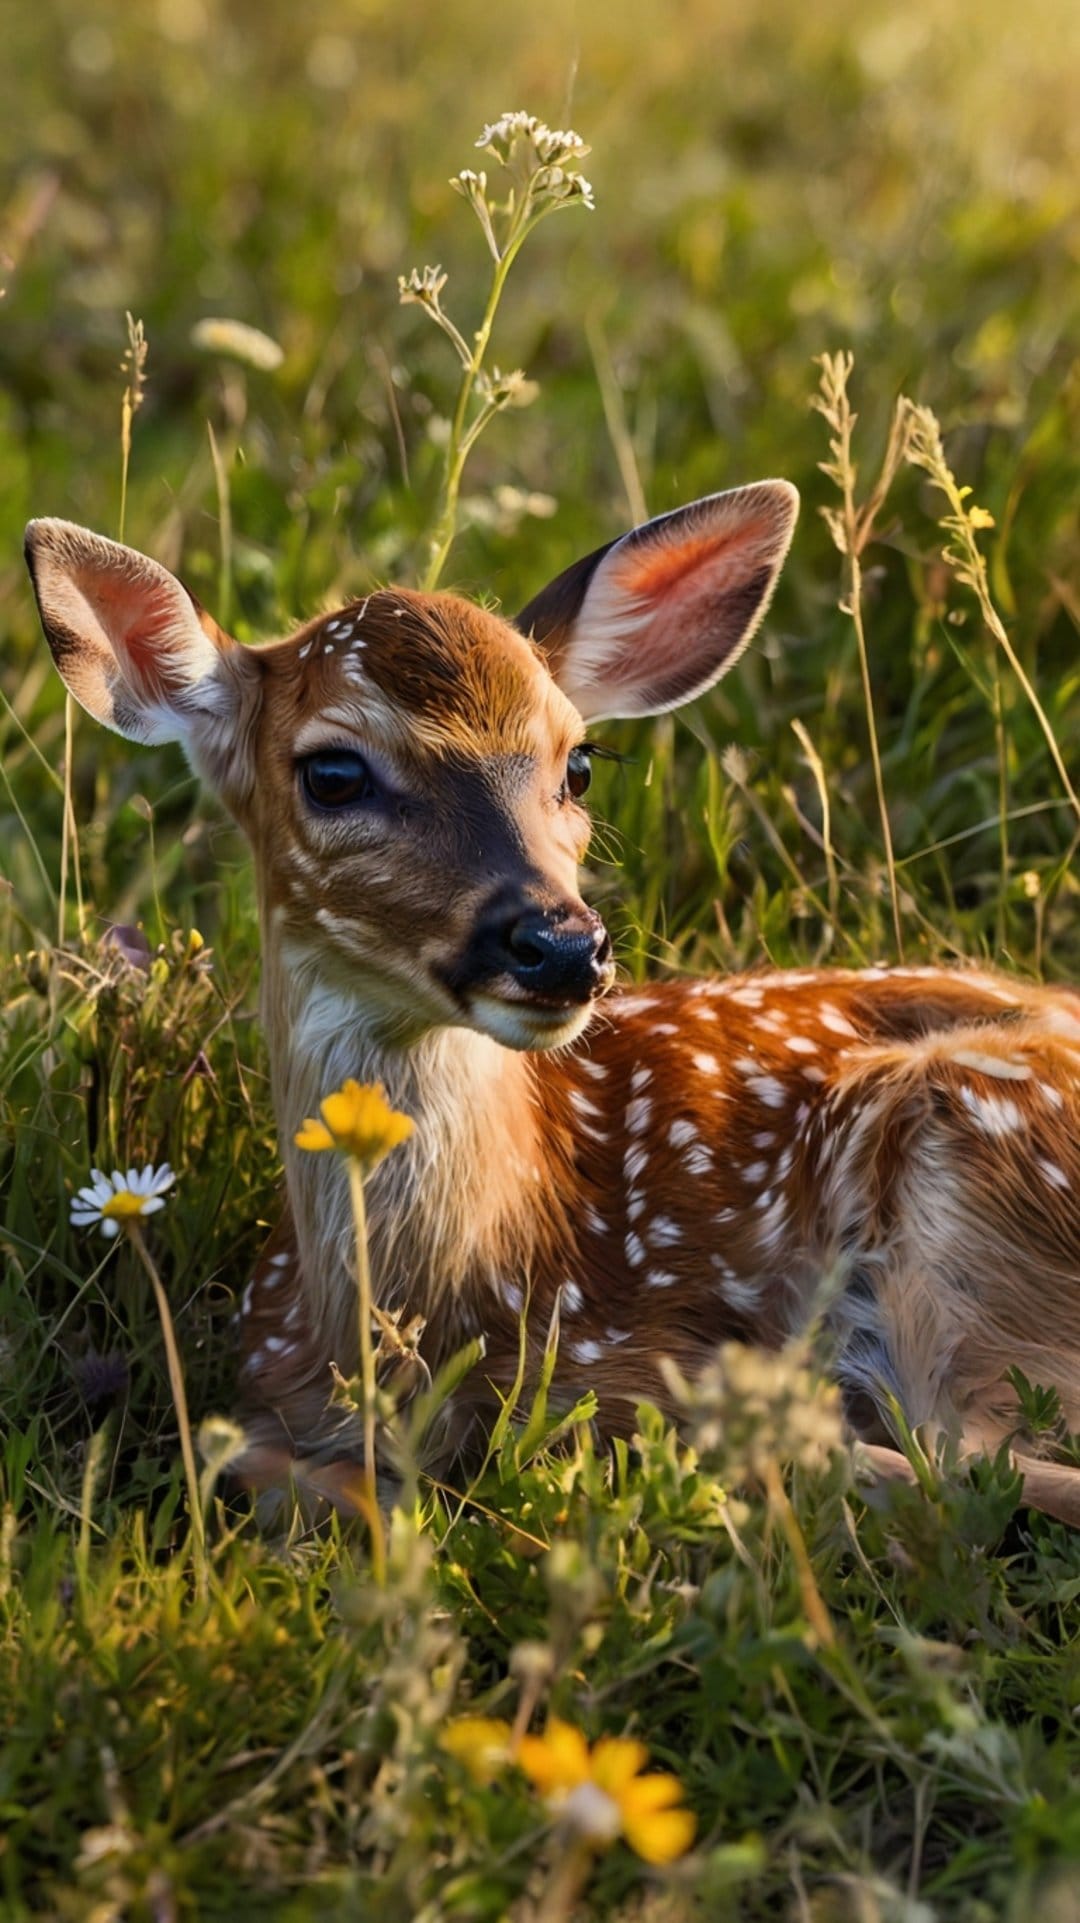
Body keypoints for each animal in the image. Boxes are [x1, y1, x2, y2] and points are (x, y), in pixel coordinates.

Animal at [24, 481, 1080, 1527]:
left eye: (578, 764)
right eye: (332, 772)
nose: (562, 946)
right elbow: (247, 1457)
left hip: (965, 1178)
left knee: (959, 1457)